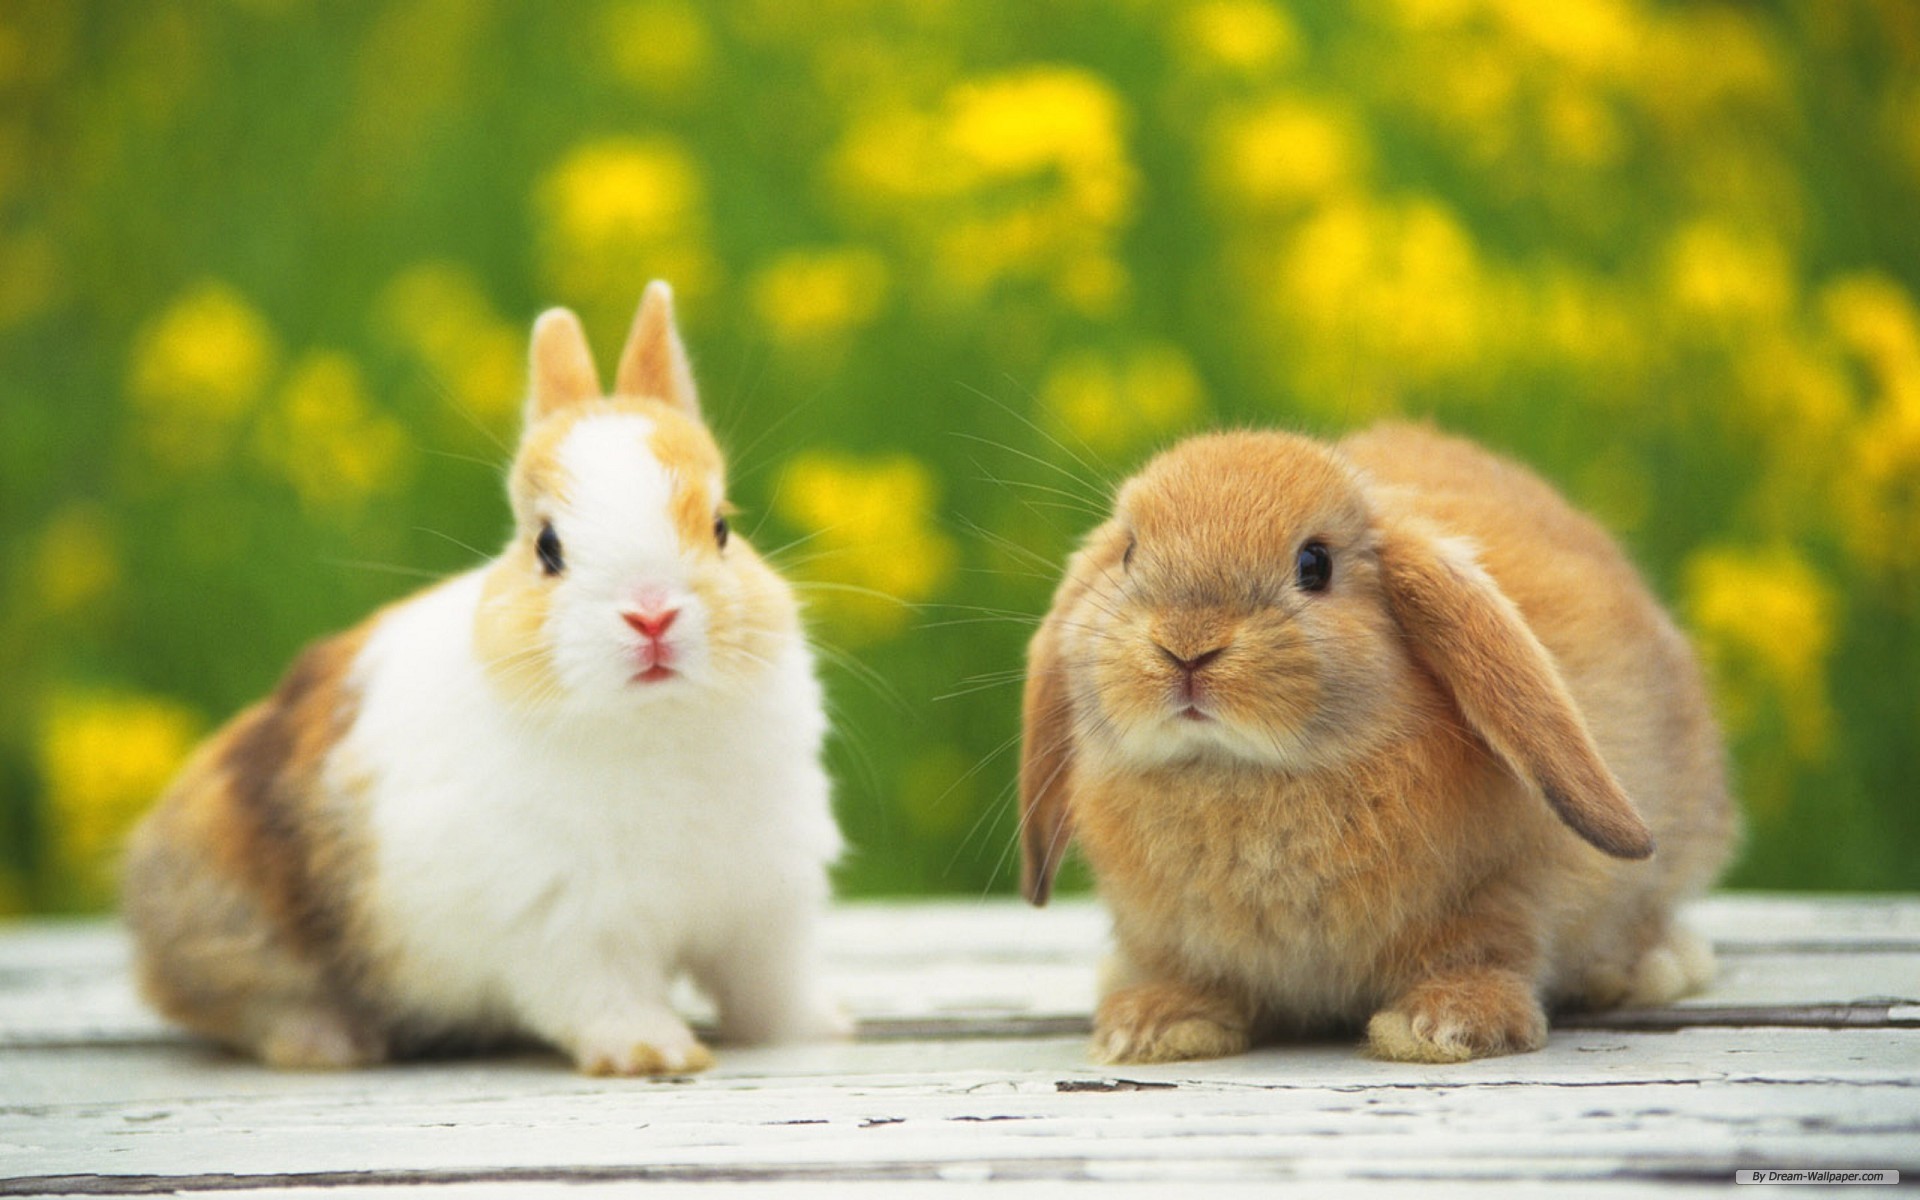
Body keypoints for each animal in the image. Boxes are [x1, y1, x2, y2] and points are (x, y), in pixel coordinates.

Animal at [122, 282, 844, 1074]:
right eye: (548, 547)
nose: (651, 615)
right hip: (238, 914)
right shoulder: (567, 926)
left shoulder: (763, 908)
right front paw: (653, 1054)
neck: (654, 723)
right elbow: (606, 998)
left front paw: (818, 1029)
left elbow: (768, 988)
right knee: (227, 1002)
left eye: (721, 527)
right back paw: (331, 1042)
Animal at [1018, 422, 1737, 1064]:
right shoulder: (1170, 935)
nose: (1186, 646)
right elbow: (1186, 973)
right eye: (1129, 554)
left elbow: (1485, 950)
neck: (1242, 773)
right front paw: (1154, 1026)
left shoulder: (1500, 894)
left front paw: (1447, 1027)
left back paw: (1648, 969)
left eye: (1315, 565)